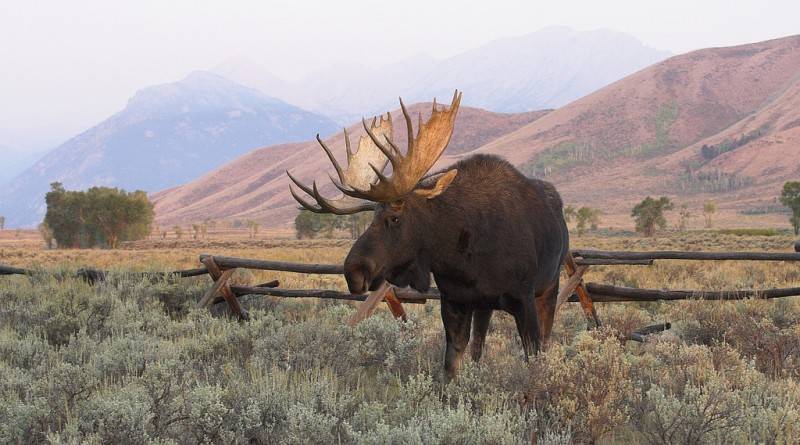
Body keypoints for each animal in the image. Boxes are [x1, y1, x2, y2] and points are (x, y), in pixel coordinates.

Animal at [288, 91, 568, 378]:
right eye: (372, 216)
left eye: (395, 217)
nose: (353, 271)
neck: (463, 258)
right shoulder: (455, 300)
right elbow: (450, 366)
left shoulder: (524, 300)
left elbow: (533, 358)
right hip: (485, 305)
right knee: (479, 345)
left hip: (550, 286)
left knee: (545, 337)